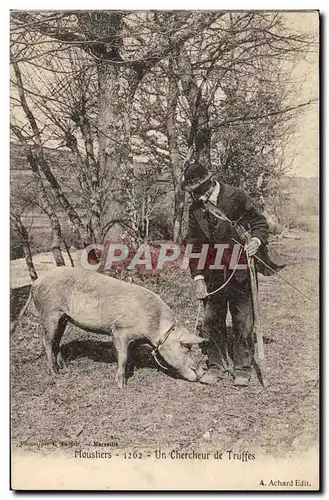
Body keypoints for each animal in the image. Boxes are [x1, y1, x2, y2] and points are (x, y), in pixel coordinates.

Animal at [31, 268, 205, 388]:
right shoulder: (119, 330)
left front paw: (131, 369)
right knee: (47, 342)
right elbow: (122, 356)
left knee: (56, 342)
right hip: (50, 313)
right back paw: (54, 374)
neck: (154, 325)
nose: (200, 372)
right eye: (185, 347)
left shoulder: (135, 339)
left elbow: (130, 354)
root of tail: (36, 282)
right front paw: (121, 385)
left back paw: (65, 369)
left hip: (63, 318)